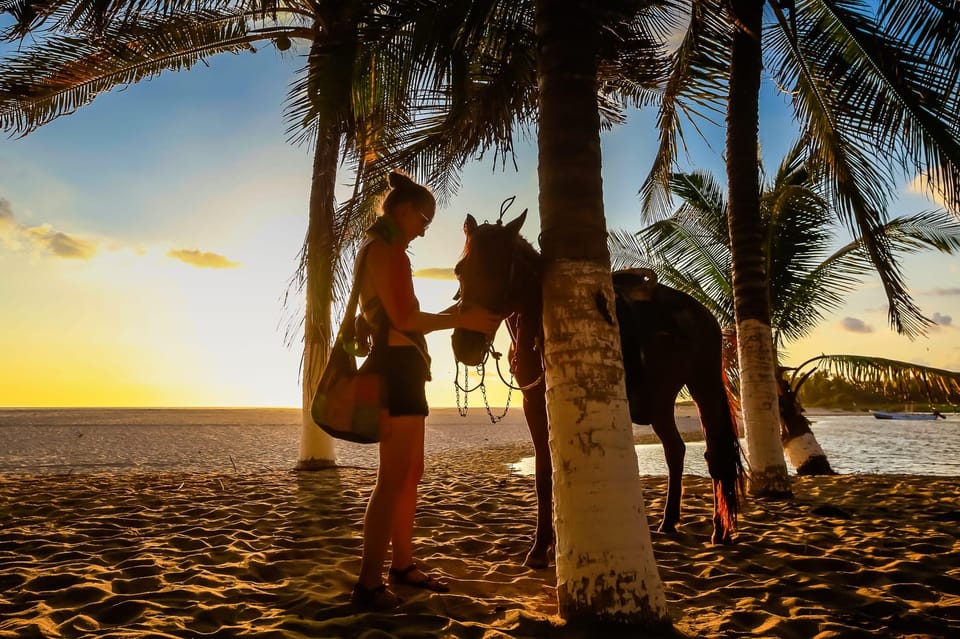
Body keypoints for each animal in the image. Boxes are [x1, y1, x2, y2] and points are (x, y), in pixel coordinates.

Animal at [454, 212, 748, 568]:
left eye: (500, 268)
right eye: (460, 270)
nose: (465, 345)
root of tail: (703, 314)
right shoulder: (533, 403)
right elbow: (542, 473)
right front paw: (541, 547)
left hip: (702, 384)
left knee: (714, 453)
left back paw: (719, 530)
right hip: (661, 402)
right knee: (676, 450)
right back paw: (668, 522)